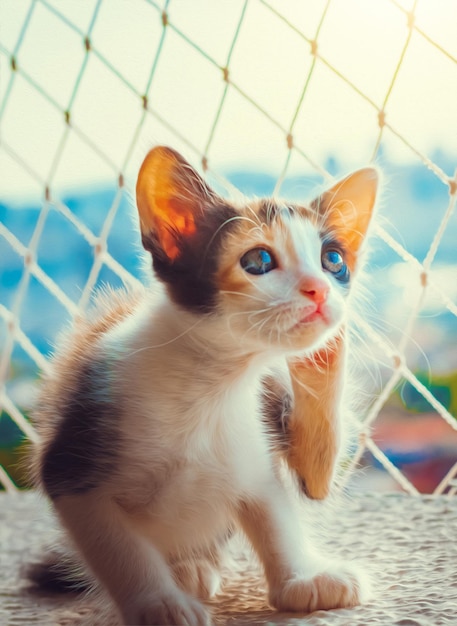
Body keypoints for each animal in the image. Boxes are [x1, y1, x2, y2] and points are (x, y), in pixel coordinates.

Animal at [30, 146, 376, 624]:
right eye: (258, 261)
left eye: (333, 260)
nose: (319, 290)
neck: (211, 380)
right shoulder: (74, 456)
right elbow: (119, 547)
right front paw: (157, 603)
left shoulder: (260, 436)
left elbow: (284, 507)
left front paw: (300, 578)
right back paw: (182, 572)